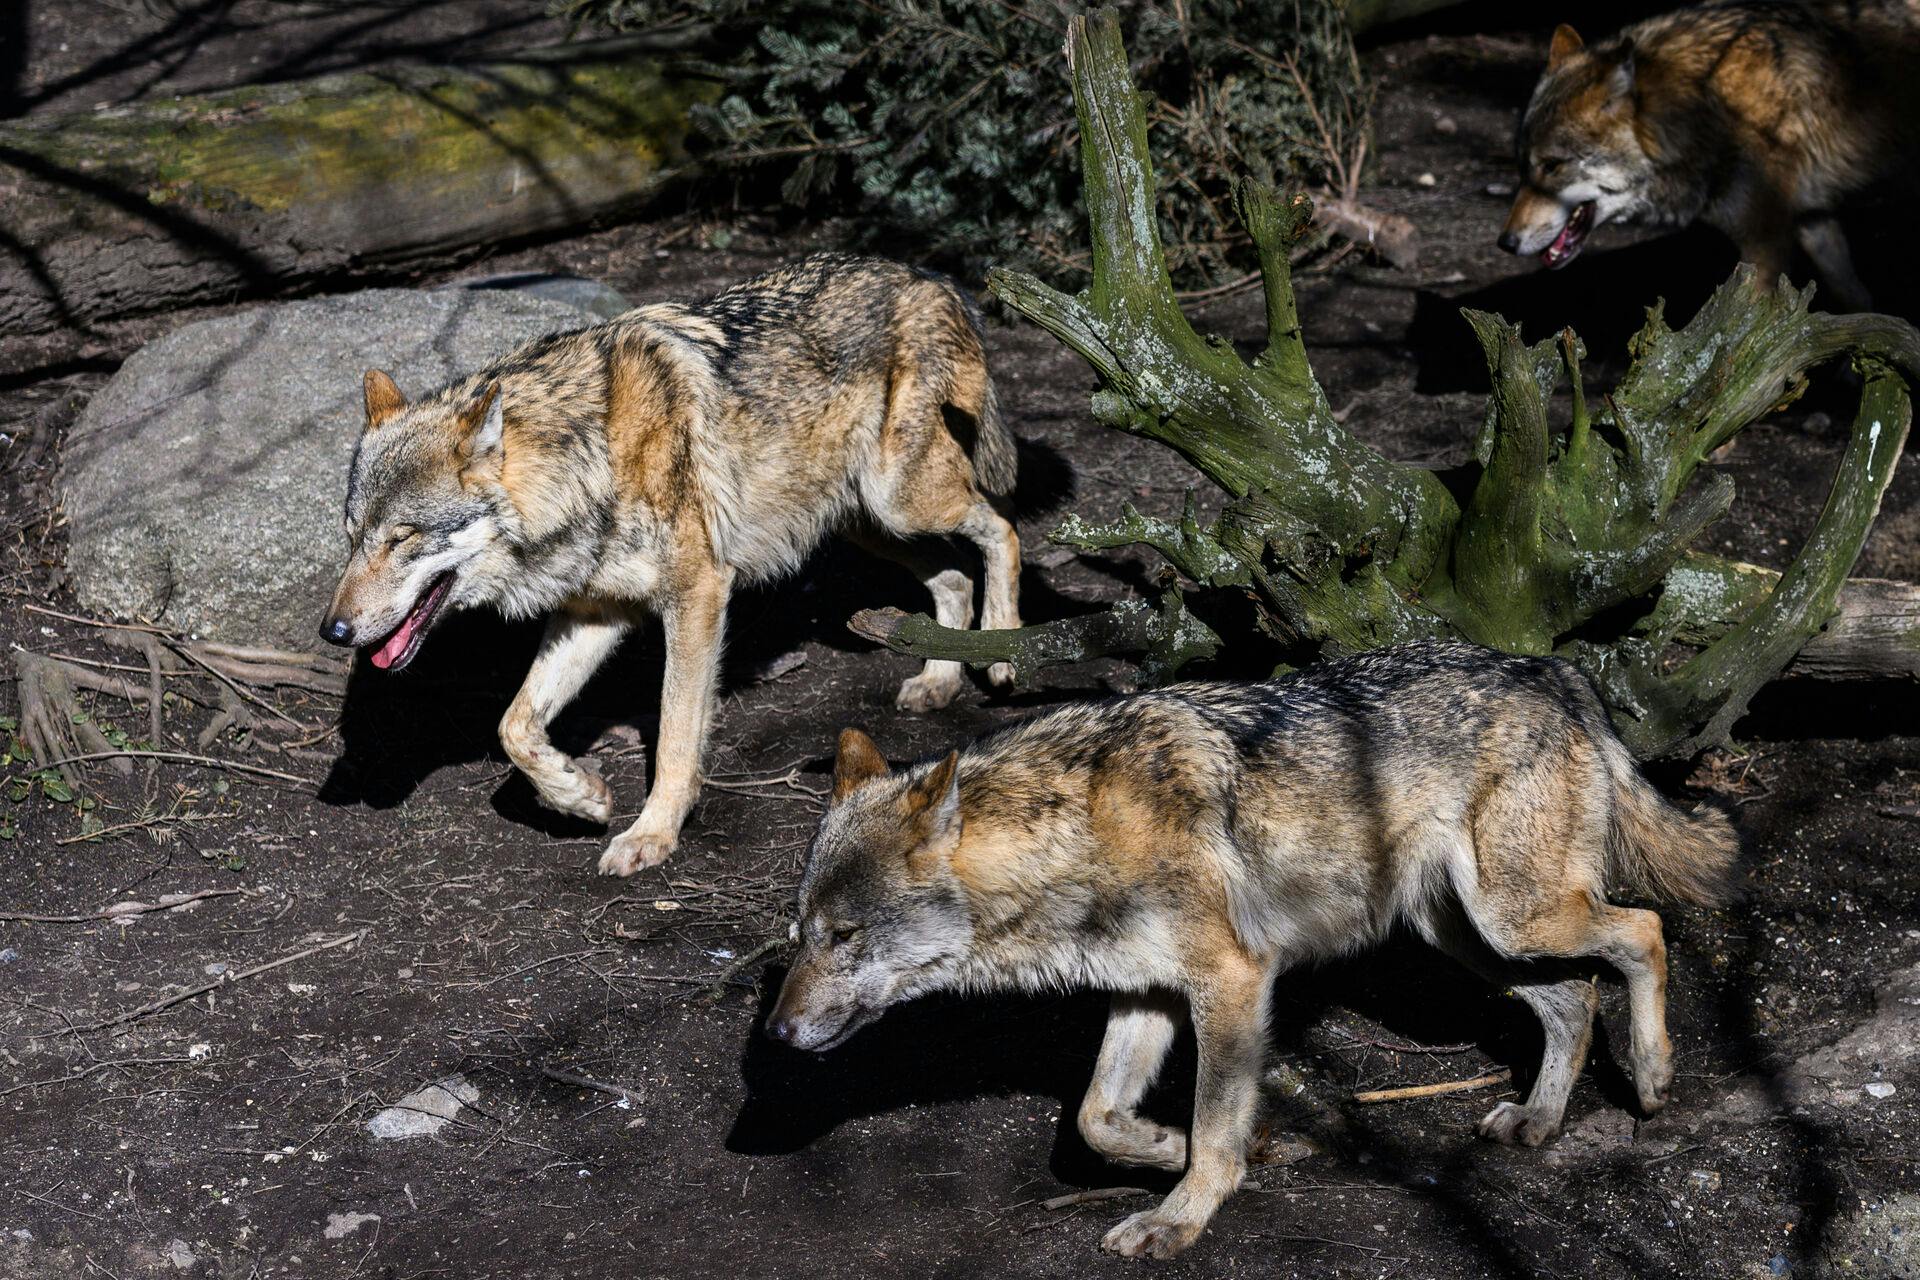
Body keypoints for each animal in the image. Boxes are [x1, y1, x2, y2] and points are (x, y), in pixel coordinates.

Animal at [322, 253, 1029, 871]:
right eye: (354, 537)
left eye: (403, 538)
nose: (333, 631)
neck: (594, 455)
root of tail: (931, 277)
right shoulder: (595, 615)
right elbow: (513, 727)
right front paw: (579, 796)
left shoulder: (698, 595)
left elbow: (674, 737)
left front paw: (652, 834)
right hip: (869, 523)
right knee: (954, 573)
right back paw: (939, 680)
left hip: (902, 500)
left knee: (1003, 526)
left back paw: (1002, 650)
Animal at [764, 644, 1743, 1258]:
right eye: (800, 936)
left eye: (846, 937)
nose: (773, 1037)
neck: (1081, 834)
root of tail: (1551, 668)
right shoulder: (1146, 993)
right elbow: (1098, 1119)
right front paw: (1229, 1150)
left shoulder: (1232, 981)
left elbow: (1208, 1124)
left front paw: (1181, 1217)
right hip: (1468, 935)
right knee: (1576, 995)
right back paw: (1540, 1120)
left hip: (1516, 917)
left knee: (1644, 933)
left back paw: (1654, 1075)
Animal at [1497, 0, 1920, 310]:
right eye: (1522, 168)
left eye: (1552, 166)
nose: (1506, 243)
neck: (1706, 104)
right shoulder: (1811, 220)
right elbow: (1856, 300)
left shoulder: (1764, 246)